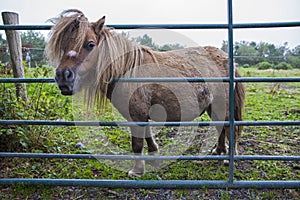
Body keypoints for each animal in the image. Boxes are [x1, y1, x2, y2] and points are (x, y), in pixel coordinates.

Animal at [45, 9, 245, 177]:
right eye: (63, 45)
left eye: (90, 44)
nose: (63, 77)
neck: (126, 70)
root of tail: (227, 59)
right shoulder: (140, 113)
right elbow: (147, 135)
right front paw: (153, 155)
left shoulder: (137, 114)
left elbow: (137, 143)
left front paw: (137, 170)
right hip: (214, 106)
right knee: (220, 126)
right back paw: (218, 151)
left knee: (231, 128)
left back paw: (229, 157)